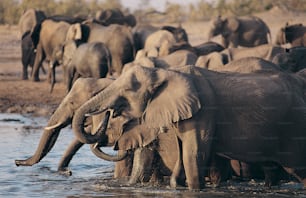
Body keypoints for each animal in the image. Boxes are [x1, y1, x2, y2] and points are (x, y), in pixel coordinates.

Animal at [71, 64, 306, 189]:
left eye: (128, 90)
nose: (109, 112)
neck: (166, 72)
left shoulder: (204, 111)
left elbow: (193, 155)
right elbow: (183, 154)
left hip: (295, 128)